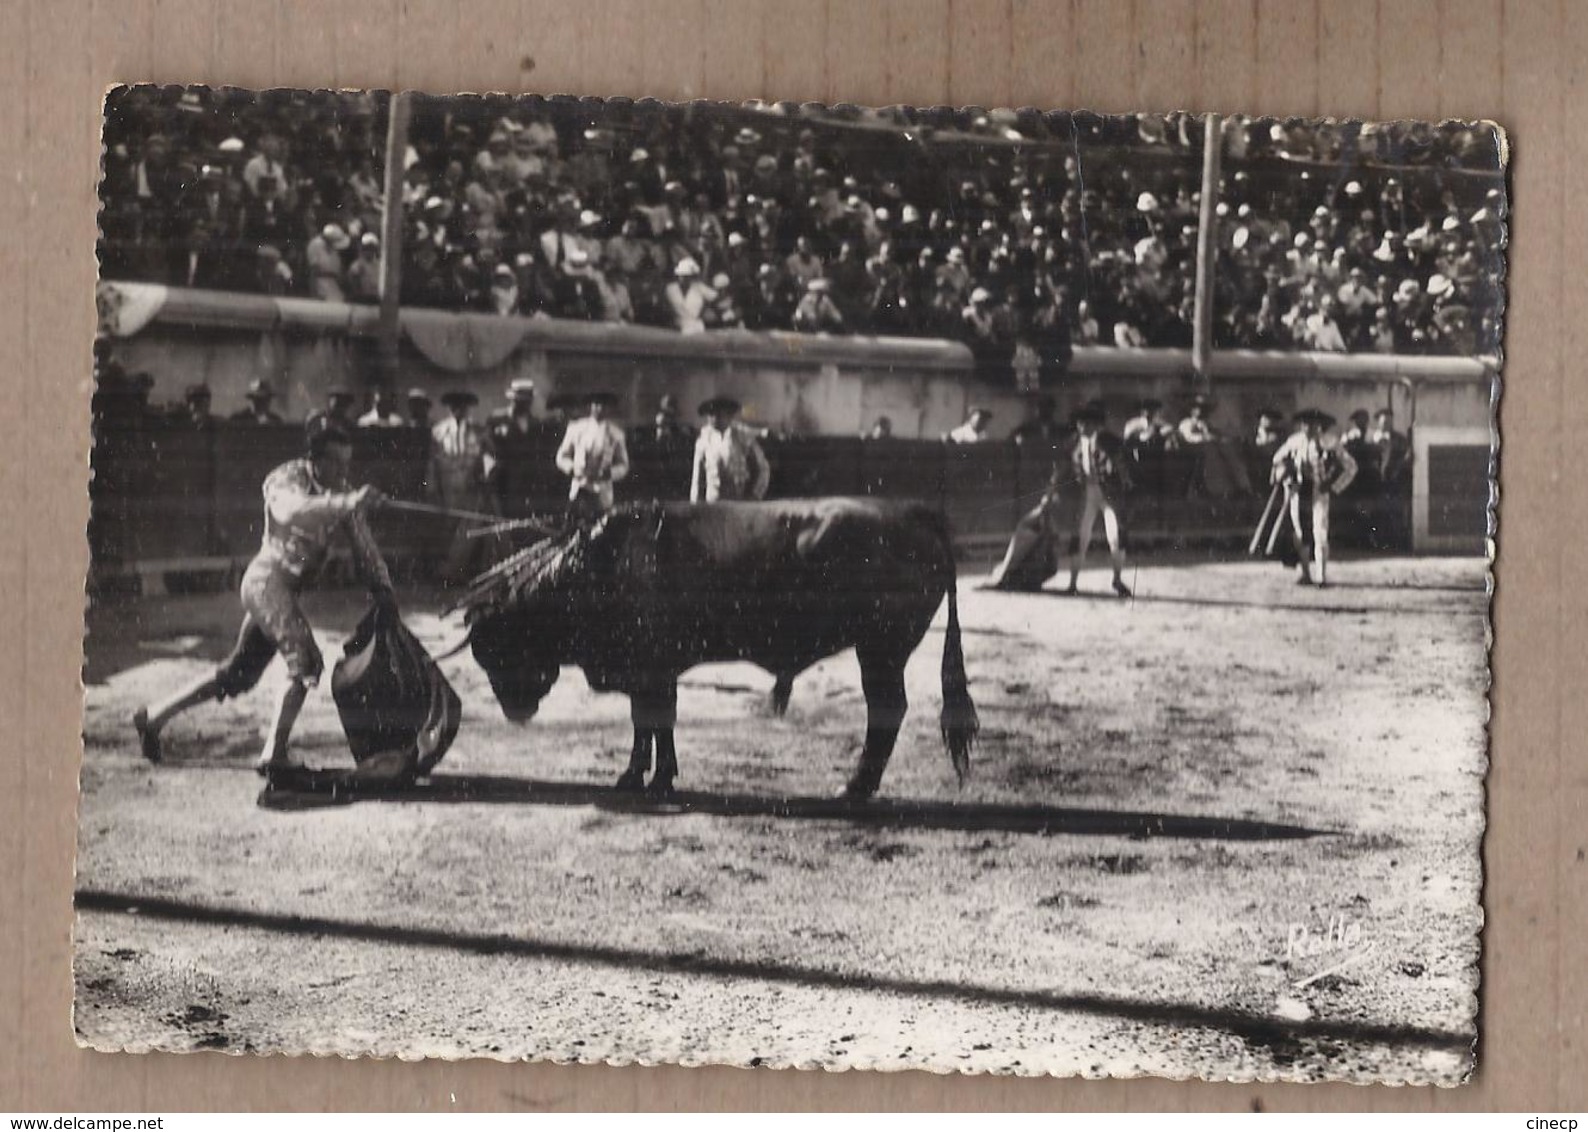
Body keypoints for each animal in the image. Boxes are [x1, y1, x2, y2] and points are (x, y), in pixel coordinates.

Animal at [463, 498, 978, 800]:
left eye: (503, 647)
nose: (515, 710)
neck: (599, 566)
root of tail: (912, 515)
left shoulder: (650, 670)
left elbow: (651, 721)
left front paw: (646, 779)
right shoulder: (655, 673)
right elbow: (652, 724)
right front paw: (652, 775)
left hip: (880, 651)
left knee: (886, 710)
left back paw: (854, 787)